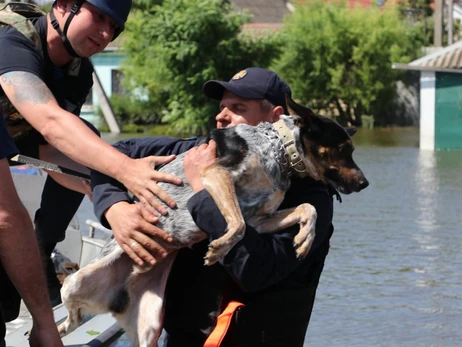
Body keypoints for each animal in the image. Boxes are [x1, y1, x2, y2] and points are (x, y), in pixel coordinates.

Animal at [57, 96, 368, 347]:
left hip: (150, 324)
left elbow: (308, 208)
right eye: (344, 148)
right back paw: (62, 326)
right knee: (71, 310)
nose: (365, 183)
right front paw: (218, 249)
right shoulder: (217, 175)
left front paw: (305, 239)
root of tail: (119, 296)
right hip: (75, 283)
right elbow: (237, 224)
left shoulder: (261, 219)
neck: (277, 150)